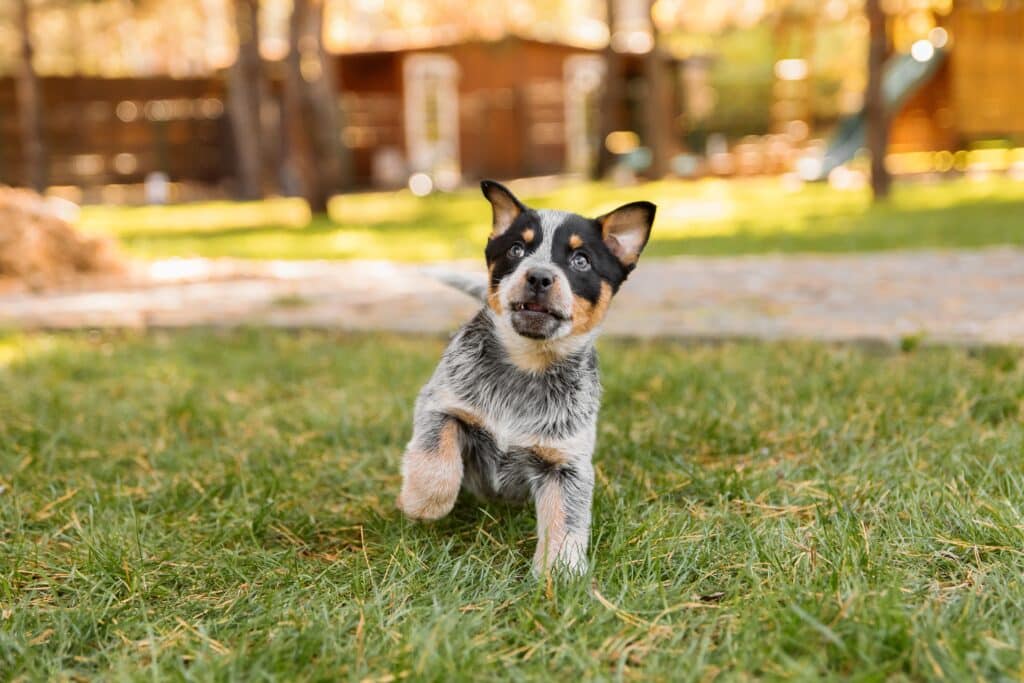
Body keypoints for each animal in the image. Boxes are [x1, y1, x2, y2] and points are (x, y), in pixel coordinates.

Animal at [395, 181, 651, 577]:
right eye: (517, 249)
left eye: (581, 260)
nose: (539, 276)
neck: (526, 369)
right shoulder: (440, 404)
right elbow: (436, 454)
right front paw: (423, 502)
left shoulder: (566, 463)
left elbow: (566, 519)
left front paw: (560, 573)